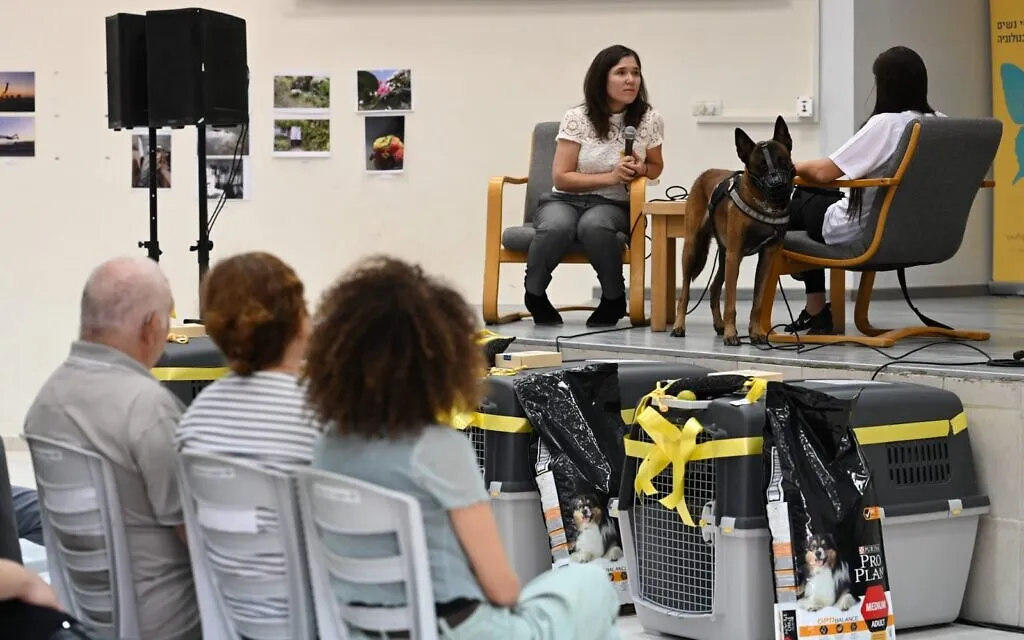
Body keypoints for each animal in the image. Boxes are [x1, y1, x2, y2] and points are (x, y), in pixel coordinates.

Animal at [671, 114, 798, 344]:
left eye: (782, 161)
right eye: (761, 166)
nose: (777, 185)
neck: (763, 204)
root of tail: (705, 173)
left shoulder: (766, 258)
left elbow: (757, 302)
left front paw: (755, 332)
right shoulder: (735, 255)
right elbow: (731, 301)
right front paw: (732, 334)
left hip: (724, 256)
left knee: (713, 288)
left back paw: (719, 324)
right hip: (693, 249)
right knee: (684, 293)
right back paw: (679, 325)